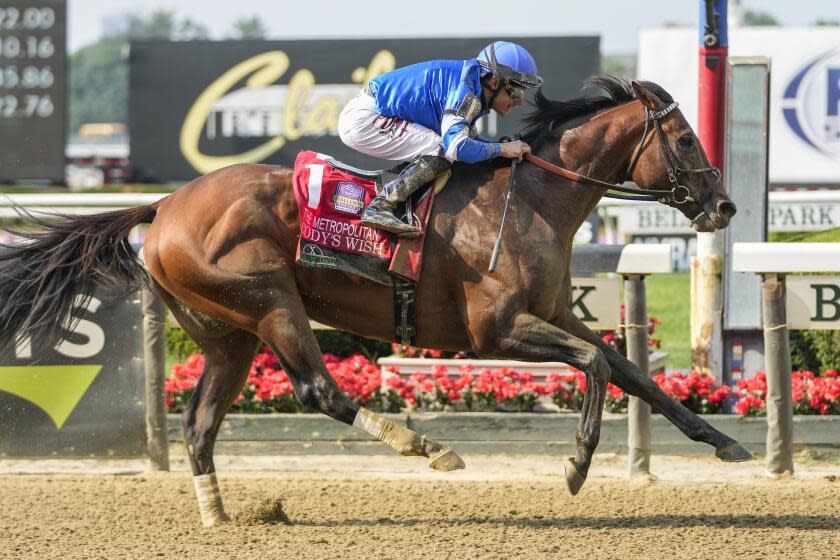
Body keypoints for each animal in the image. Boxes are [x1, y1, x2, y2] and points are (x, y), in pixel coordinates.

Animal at [0, 76, 748, 528]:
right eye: (686, 138)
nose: (723, 205)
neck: (533, 199)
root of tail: (163, 205)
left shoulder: (556, 317)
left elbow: (631, 371)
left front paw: (724, 441)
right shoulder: (499, 331)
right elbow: (595, 367)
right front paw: (577, 464)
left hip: (227, 334)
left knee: (199, 423)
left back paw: (219, 515)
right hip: (270, 301)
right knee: (318, 391)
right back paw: (426, 445)